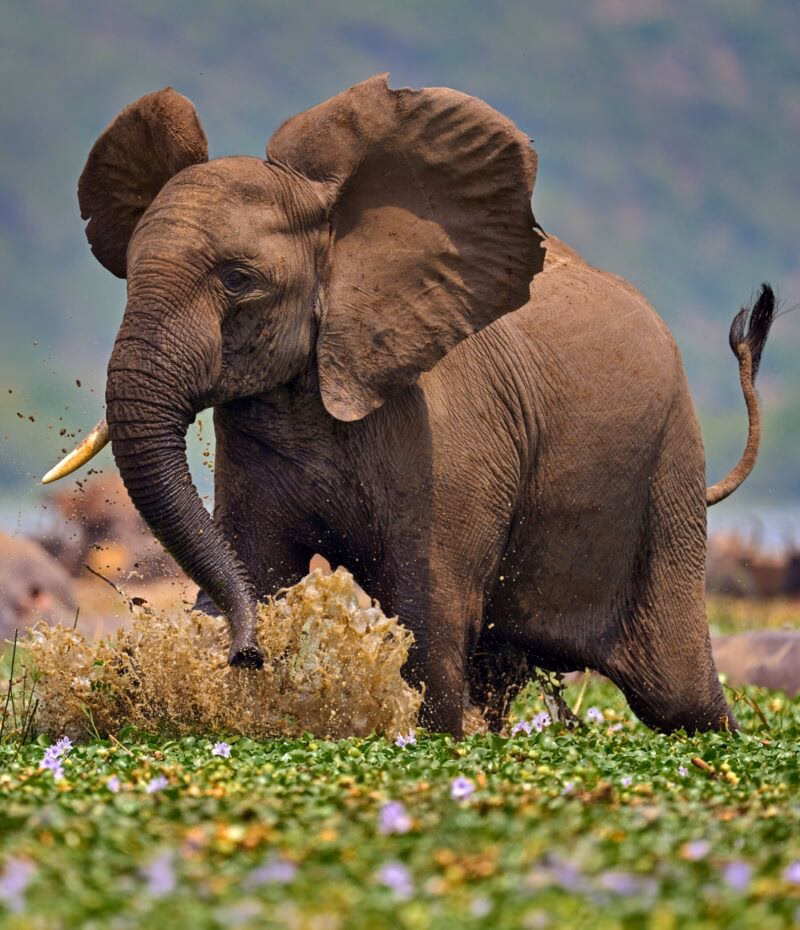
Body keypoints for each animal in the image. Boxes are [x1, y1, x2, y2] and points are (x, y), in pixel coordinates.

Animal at [44, 75, 775, 737]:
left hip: (668, 471)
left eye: (238, 281)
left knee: (677, 695)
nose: (247, 655)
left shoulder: (450, 430)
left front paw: (435, 736)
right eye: (130, 272)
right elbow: (254, 562)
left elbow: (430, 610)